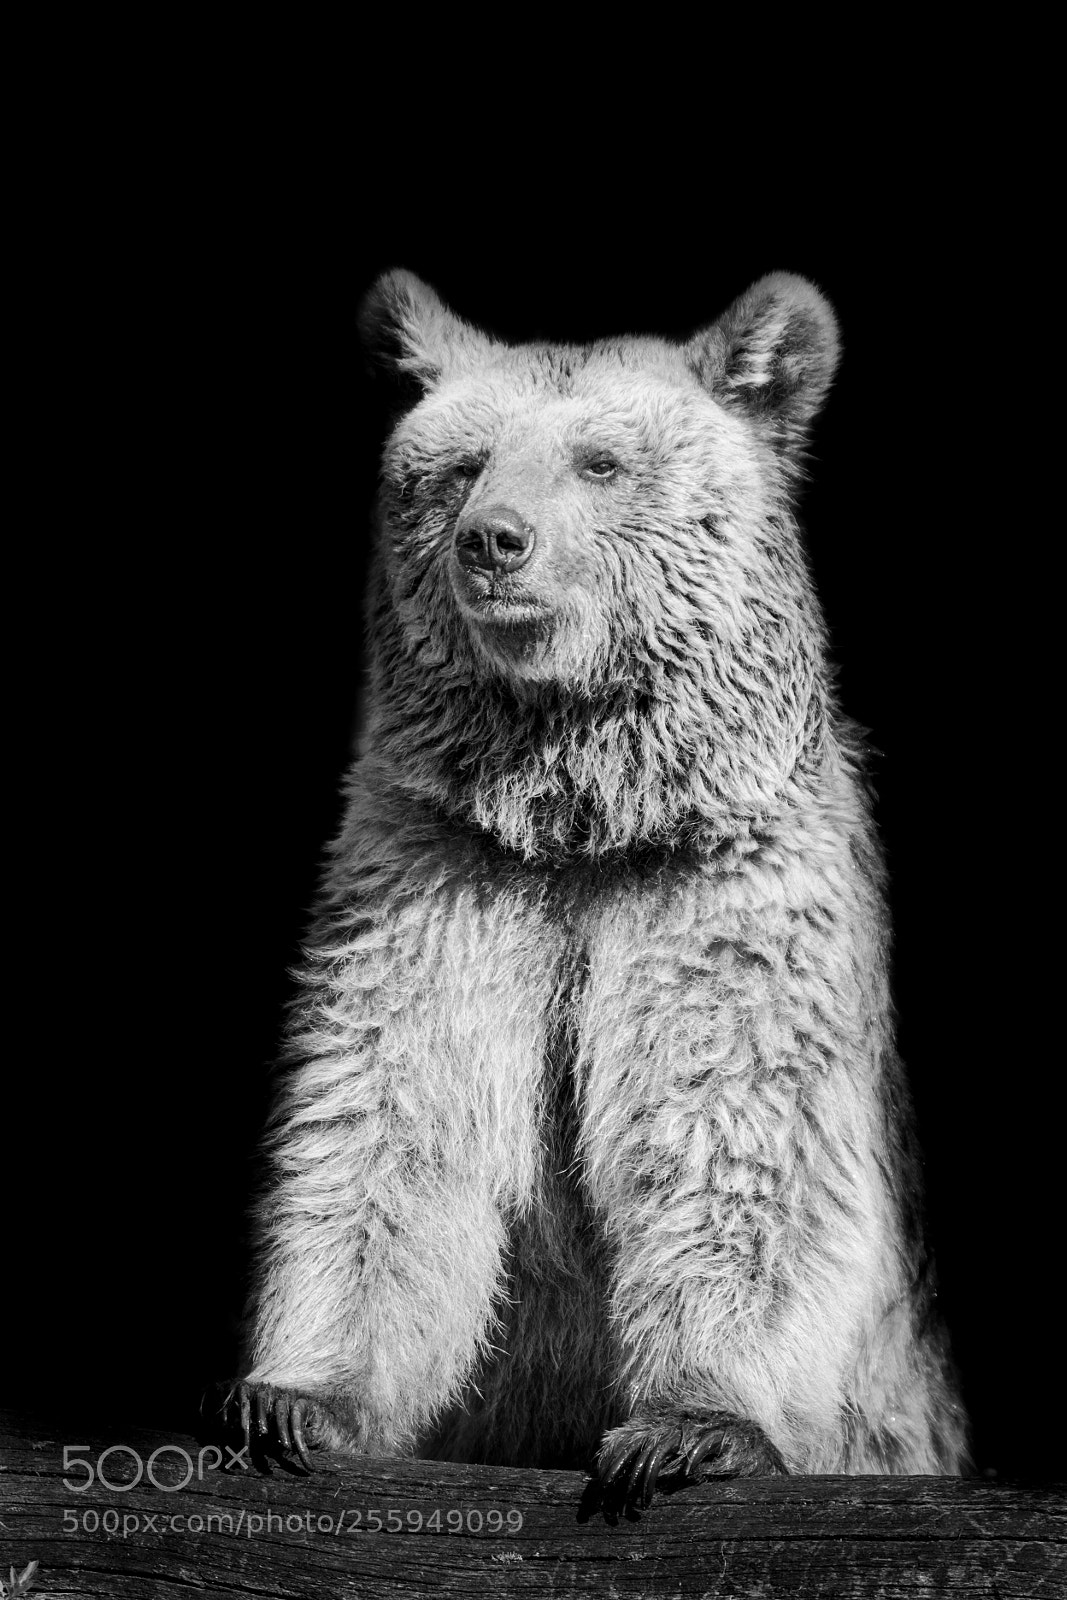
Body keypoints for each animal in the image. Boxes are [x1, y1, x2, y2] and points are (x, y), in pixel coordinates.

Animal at [227, 270, 969, 1498]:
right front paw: (297, 1400)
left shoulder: (715, 891)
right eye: (461, 462)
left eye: (600, 461)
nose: (494, 542)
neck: (580, 824)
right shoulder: (441, 883)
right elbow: (383, 1121)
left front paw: (692, 1424)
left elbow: (736, 1132)